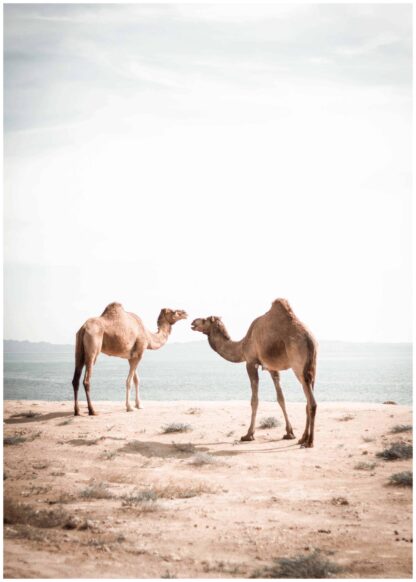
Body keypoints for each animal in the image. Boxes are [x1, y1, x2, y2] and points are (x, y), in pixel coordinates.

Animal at [192, 298, 318, 450]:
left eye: (205, 320)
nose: (193, 322)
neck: (241, 346)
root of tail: (310, 341)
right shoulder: (272, 368)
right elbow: (280, 398)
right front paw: (289, 433)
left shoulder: (251, 362)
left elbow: (254, 400)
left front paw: (248, 435)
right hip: (312, 368)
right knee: (308, 401)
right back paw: (302, 438)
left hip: (299, 367)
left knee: (312, 403)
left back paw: (309, 442)